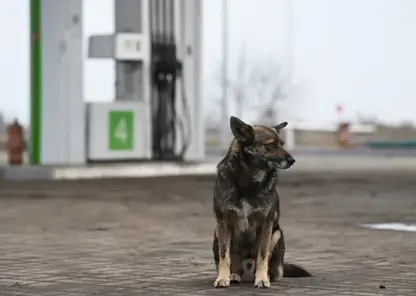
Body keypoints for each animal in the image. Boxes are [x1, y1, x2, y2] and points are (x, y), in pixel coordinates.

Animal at [213, 117, 310, 288]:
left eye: (282, 144)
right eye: (271, 145)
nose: (292, 161)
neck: (248, 182)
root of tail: (247, 260)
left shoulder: (266, 224)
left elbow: (263, 255)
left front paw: (262, 279)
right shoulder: (223, 223)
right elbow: (224, 255)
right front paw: (222, 278)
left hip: (276, 234)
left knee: (274, 269)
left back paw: (267, 276)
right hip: (217, 233)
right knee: (235, 265)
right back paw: (233, 275)